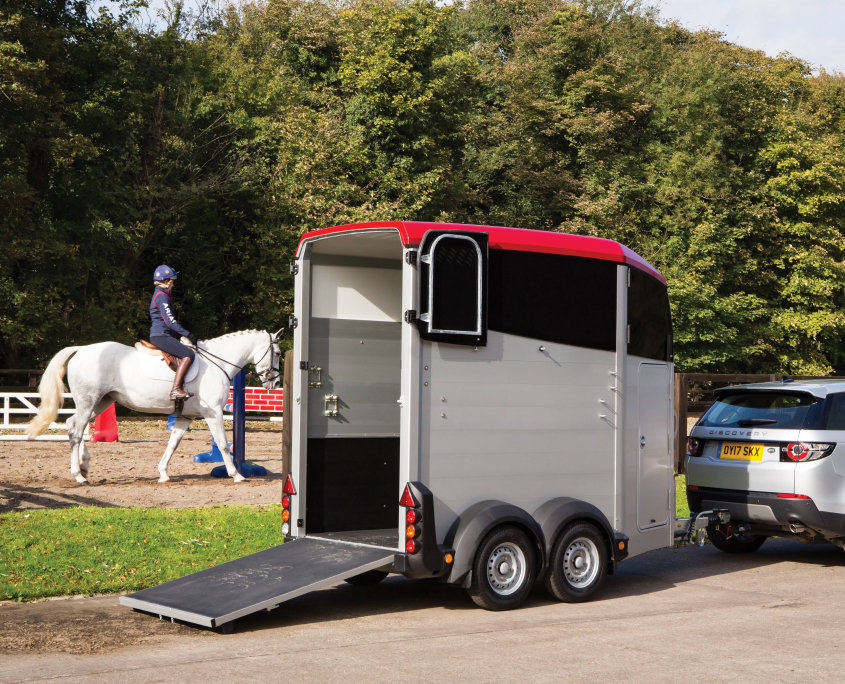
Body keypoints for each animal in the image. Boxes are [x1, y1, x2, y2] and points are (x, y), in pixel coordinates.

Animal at [26, 328, 282, 484]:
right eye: (278, 352)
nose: (275, 382)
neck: (217, 362)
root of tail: (81, 349)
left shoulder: (185, 417)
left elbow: (173, 444)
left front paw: (163, 473)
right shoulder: (213, 413)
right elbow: (222, 444)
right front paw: (236, 474)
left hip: (102, 401)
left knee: (73, 425)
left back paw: (84, 465)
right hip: (90, 401)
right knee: (77, 431)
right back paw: (78, 475)